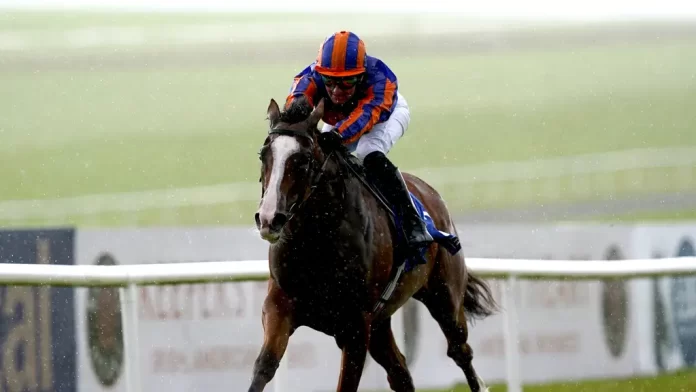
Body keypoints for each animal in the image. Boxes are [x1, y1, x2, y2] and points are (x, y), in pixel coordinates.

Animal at [247, 95, 498, 392]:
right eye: (264, 155)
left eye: (304, 160)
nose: (269, 219)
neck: (317, 242)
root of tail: (431, 194)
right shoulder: (279, 305)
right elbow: (264, 366)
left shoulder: (356, 325)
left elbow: (346, 384)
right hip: (380, 324)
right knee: (400, 373)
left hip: (445, 297)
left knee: (460, 352)